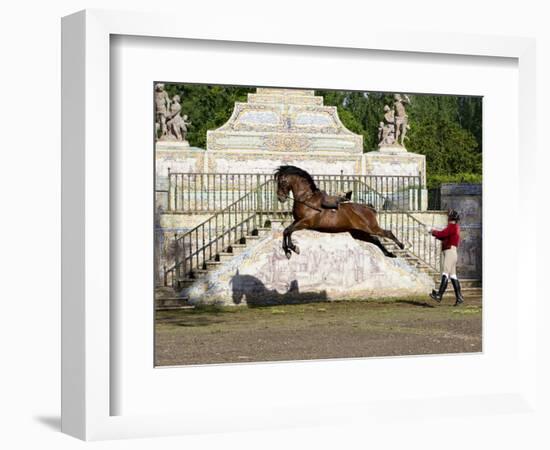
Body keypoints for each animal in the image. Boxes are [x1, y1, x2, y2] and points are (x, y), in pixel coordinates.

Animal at [274, 167, 408, 260]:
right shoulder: (297, 221)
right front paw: (289, 251)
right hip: (359, 233)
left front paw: (292, 248)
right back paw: (389, 254)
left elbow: (288, 231)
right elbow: (286, 231)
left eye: (282, 181)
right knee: (376, 240)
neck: (307, 199)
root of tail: (369, 208)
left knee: (387, 233)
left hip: (371, 228)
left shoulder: (305, 223)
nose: (280, 198)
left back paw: (401, 246)